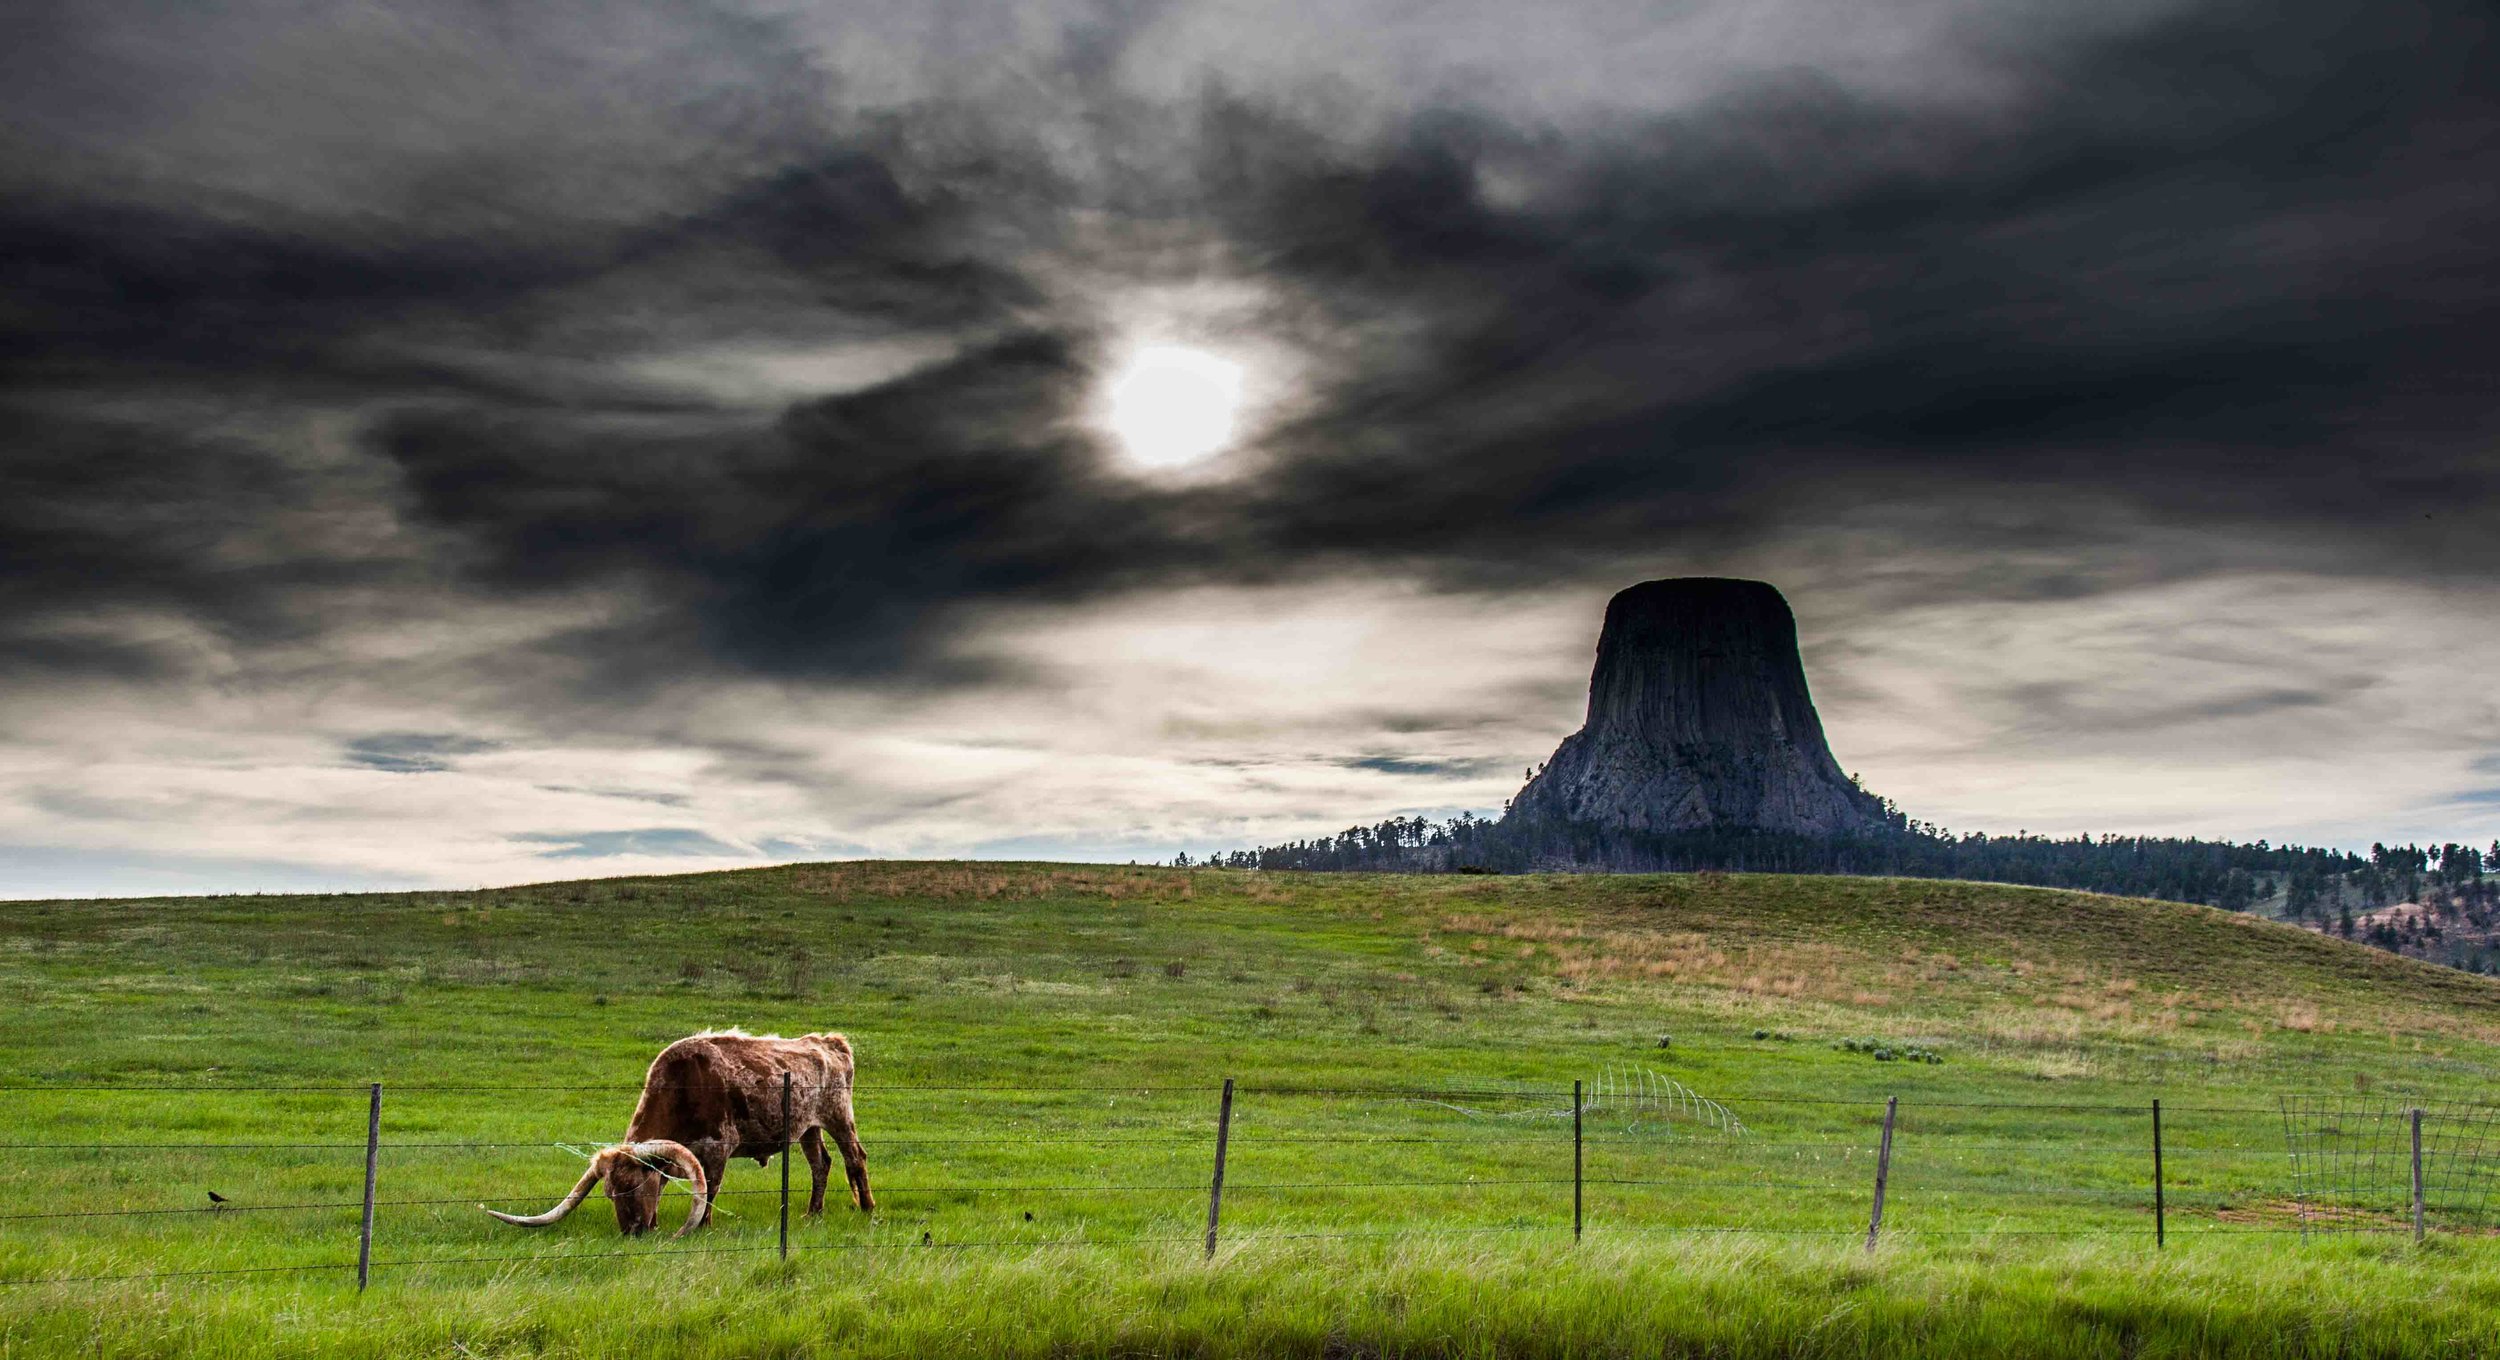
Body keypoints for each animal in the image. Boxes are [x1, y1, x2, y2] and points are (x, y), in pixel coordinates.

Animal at [482, 1025, 875, 1240]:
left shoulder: (717, 1150)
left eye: (635, 1186)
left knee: (855, 1158)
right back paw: (813, 1213)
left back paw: (867, 1209)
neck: (684, 1086)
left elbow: (710, 1191)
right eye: (609, 1193)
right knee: (820, 1164)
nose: (633, 1231)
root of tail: (827, 1042)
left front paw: (702, 1227)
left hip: (838, 1117)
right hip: (808, 1128)